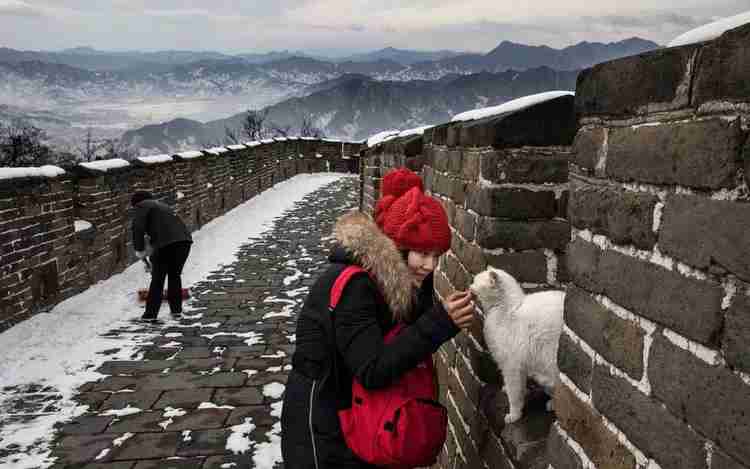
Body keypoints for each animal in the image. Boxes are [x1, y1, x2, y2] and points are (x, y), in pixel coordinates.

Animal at [470, 266, 564, 422]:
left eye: (476, 281)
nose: (469, 287)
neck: (505, 309)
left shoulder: (511, 366)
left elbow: (514, 394)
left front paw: (514, 415)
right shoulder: (518, 365)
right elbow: (517, 388)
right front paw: (507, 390)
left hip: (550, 361)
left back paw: (553, 404)